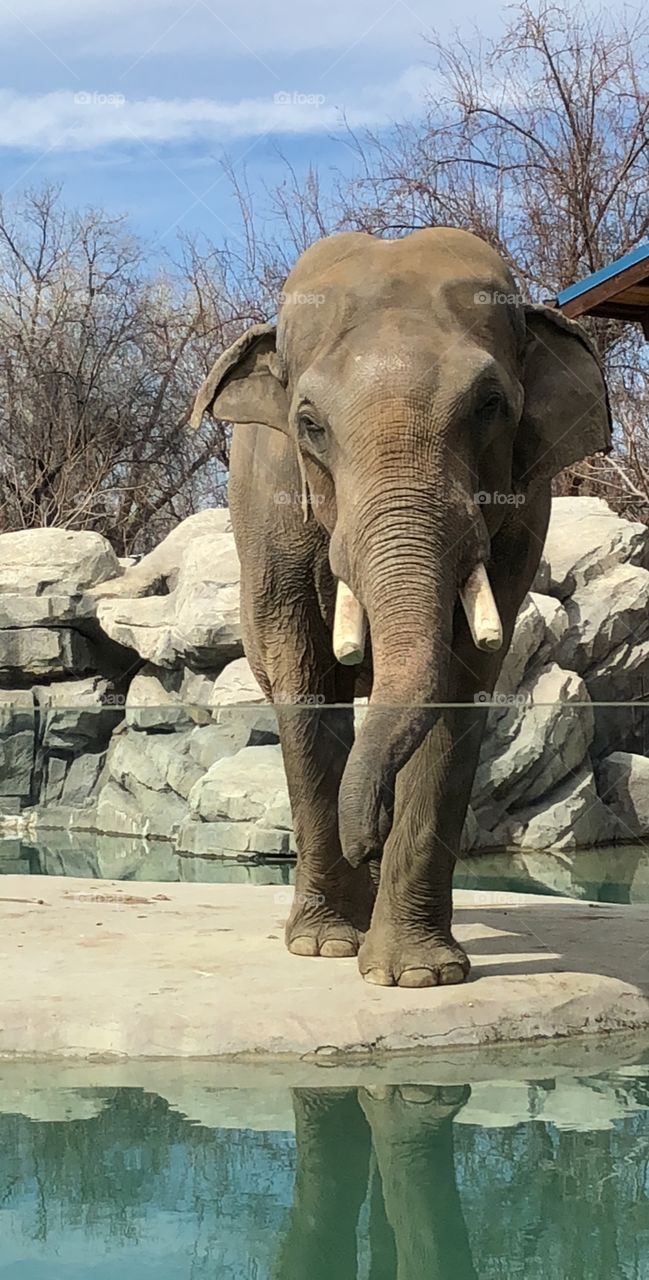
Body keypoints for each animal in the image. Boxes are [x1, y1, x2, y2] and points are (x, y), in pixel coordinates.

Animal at [191, 227, 611, 988]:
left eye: (490, 406)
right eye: (308, 424)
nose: (368, 839)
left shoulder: (519, 515)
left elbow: (462, 680)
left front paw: (414, 975)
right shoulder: (272, 508)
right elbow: (305, 678)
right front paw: (325, 947)